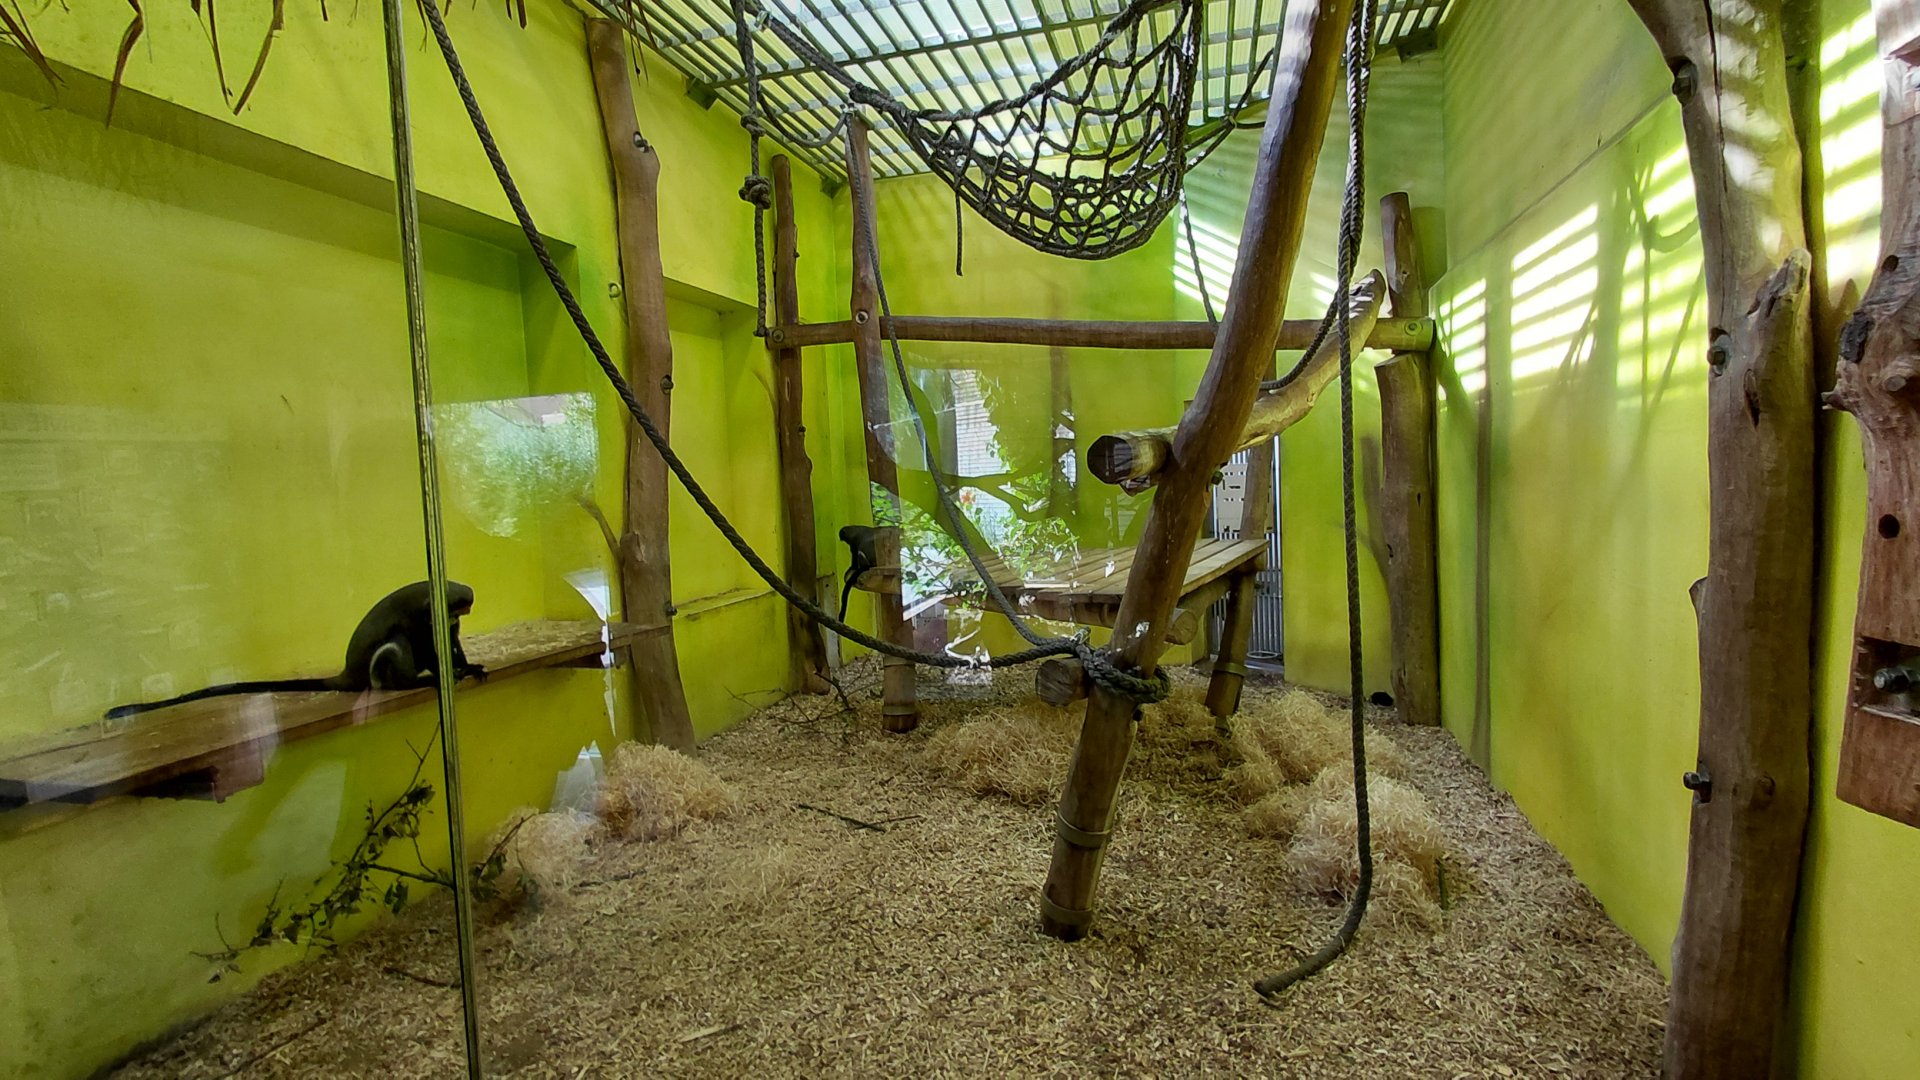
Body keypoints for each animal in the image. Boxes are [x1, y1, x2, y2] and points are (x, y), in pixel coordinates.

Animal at [104, 581, 487, 719]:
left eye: (463, 612)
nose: (457, 617)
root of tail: (348, 672)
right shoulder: (425, 616)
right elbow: (425, 643)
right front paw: (448, 673)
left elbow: (450, 644)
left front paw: (467, 666)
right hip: (379, 667)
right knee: (395, 648)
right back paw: (411, 682)